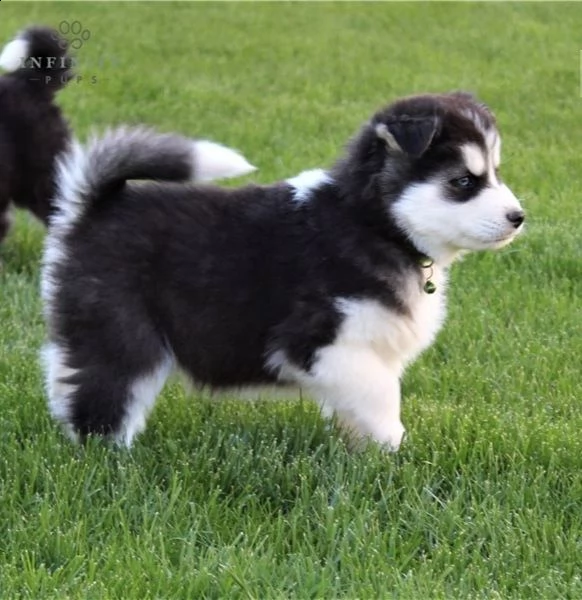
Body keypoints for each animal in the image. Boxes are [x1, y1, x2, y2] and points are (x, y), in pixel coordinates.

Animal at [40, 92, 524, 450]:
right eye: (463, 182)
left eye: (496, 173)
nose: (519, 217)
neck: (375, 223)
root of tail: (93, 207)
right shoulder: (321, 344)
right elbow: (382, 397)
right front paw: (396, 455)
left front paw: (360, 456)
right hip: (122, 332)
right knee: (105, 395)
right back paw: (111, 460)